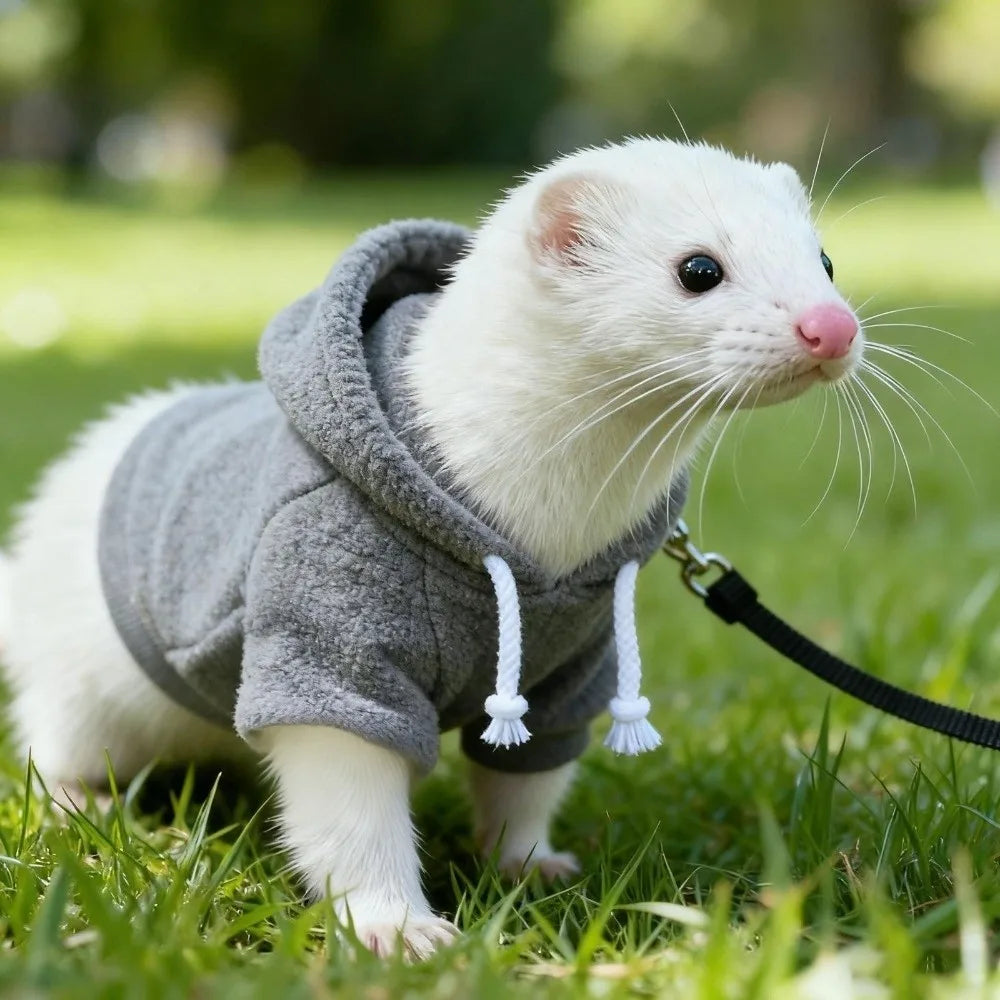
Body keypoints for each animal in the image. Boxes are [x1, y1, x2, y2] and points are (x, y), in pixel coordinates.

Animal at [0, 138, 862, 958]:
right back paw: (81, 803)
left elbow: (528, 779)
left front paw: (531, 863)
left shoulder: (573, 665)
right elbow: (350, 811)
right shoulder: (328, 635)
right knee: (54, 737)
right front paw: (398, 927)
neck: (546, 528)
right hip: (79, 683)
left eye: (824, 257)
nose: (834, 326)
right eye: (698, 268)